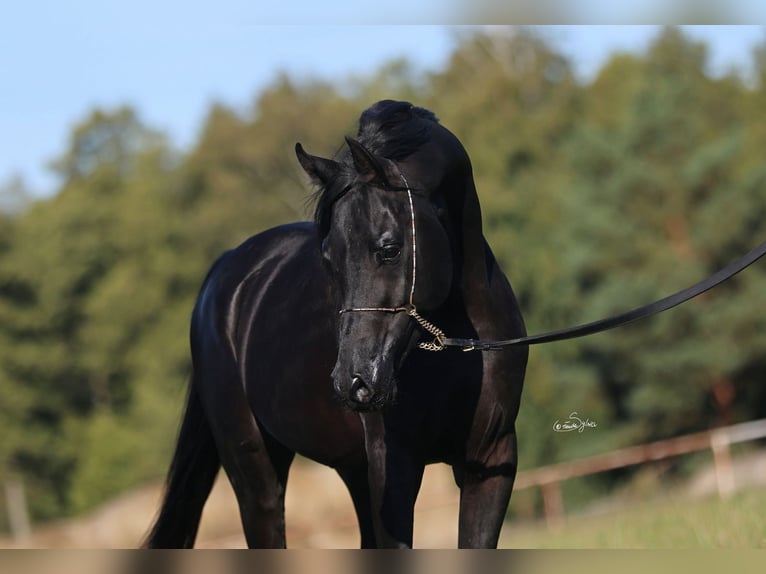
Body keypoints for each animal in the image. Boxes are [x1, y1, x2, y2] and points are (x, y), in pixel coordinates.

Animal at [143, 100, 528, 548]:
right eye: (328, 255)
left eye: (389, 247)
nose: (355, 382)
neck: (457, 346)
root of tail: (224, 272)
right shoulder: (394, 469)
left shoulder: (490, 461)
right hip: (255, 472)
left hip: (353, 472)